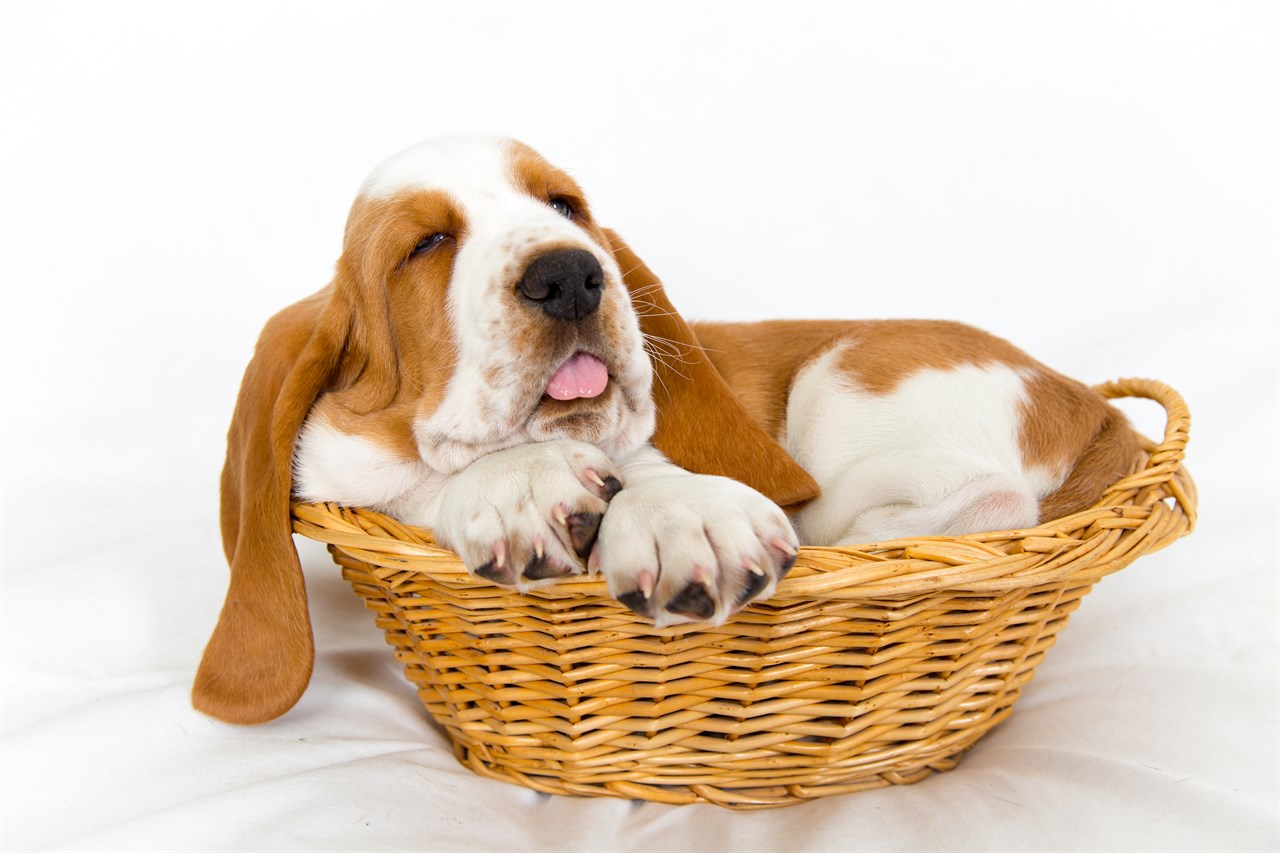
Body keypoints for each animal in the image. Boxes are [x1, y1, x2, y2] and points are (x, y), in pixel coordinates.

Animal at [194, 136, 1136, 722]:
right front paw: (518, 481)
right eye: (424, 244)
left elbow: (648, 470)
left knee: (988, 498)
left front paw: (678, 516)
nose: (571, 274)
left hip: (842, 376)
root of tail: (1093, 404)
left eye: (564, 205)